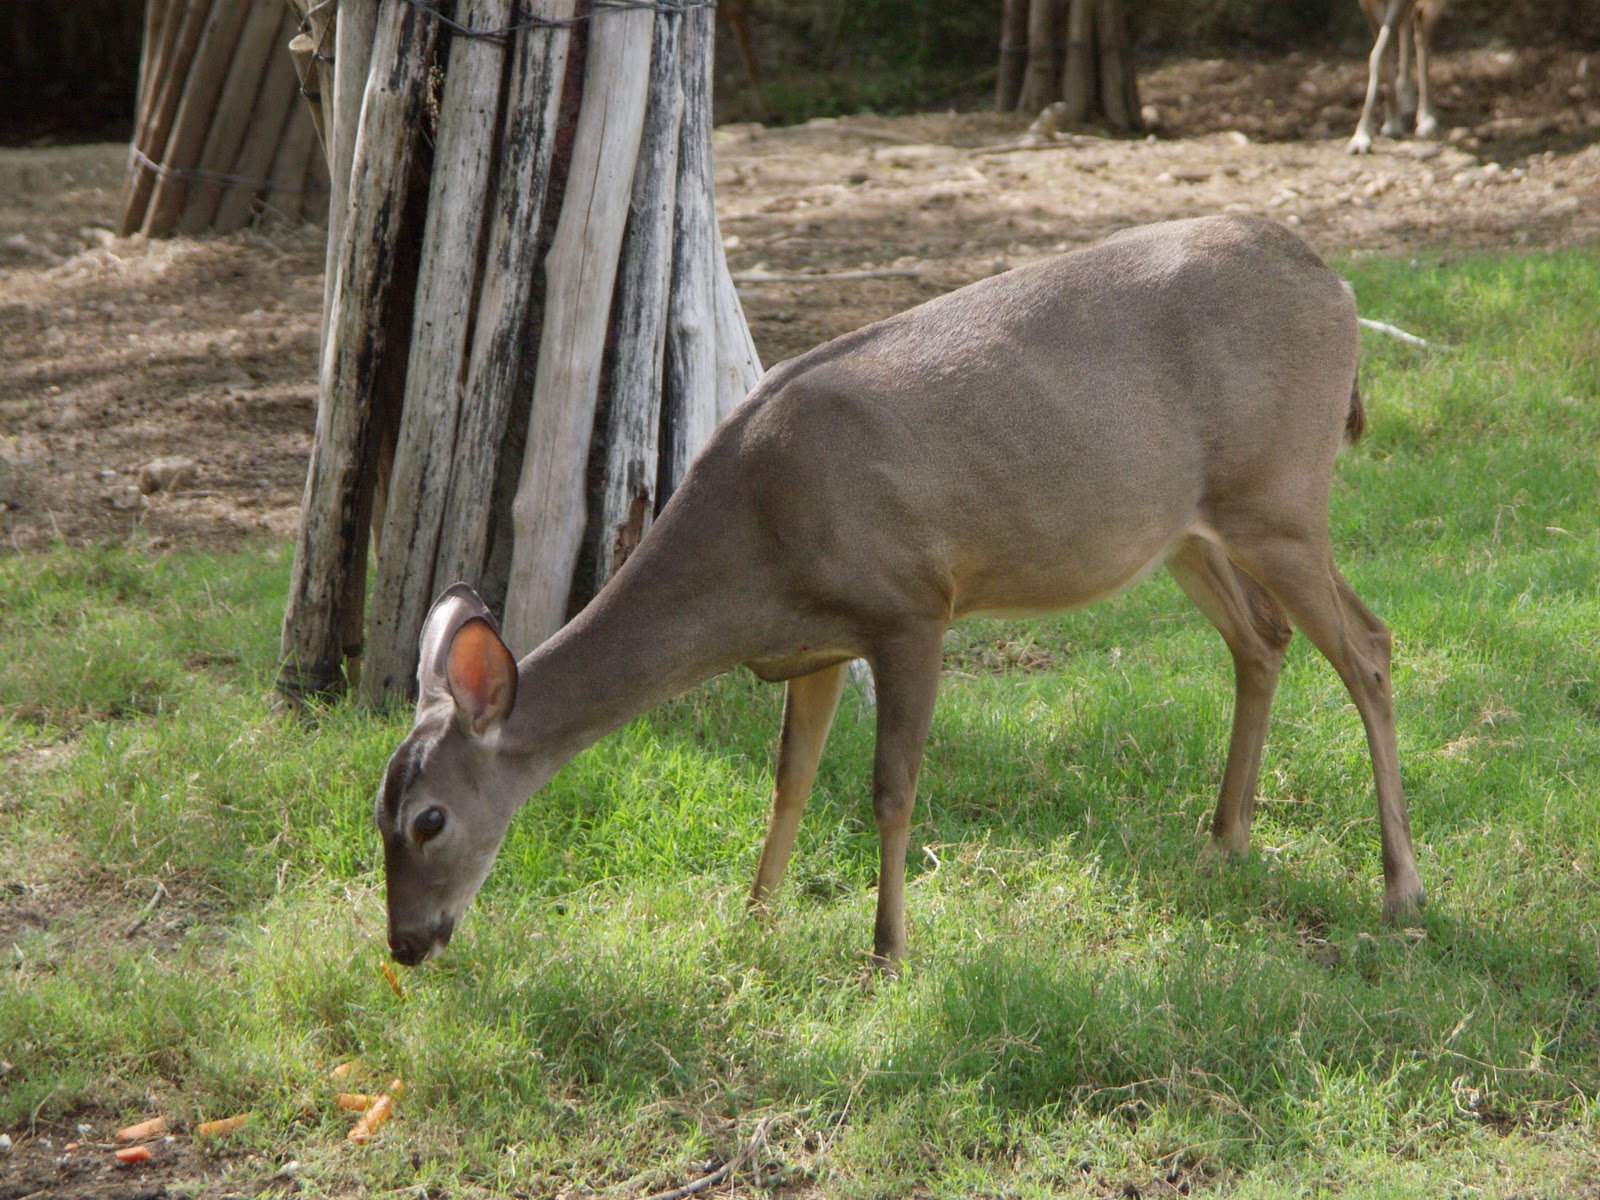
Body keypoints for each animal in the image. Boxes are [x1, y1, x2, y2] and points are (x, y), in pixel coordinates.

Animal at [374, 211, 1427, 972]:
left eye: (429, 820)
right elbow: (790, 781)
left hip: (1279, 489)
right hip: (1183, 527)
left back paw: (1402, 890)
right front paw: (755, 916)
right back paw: (1226, 841)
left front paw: (888, 949)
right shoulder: (813, 643)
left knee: (1370, 648)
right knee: (1263, 639)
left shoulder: (912, 605)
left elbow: (890, 789)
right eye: (376, 816)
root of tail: (1335, 281)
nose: (407, 945)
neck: (752, 546)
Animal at [1350, 0, 1452, 155]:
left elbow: (1379, 55)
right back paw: (1405, 98)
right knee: (1408, 22)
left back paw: (1427, 119)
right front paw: (1390, 123)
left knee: (1421, 28)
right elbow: (1384, 55)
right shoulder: (1366, 3)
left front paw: (1363, 136)